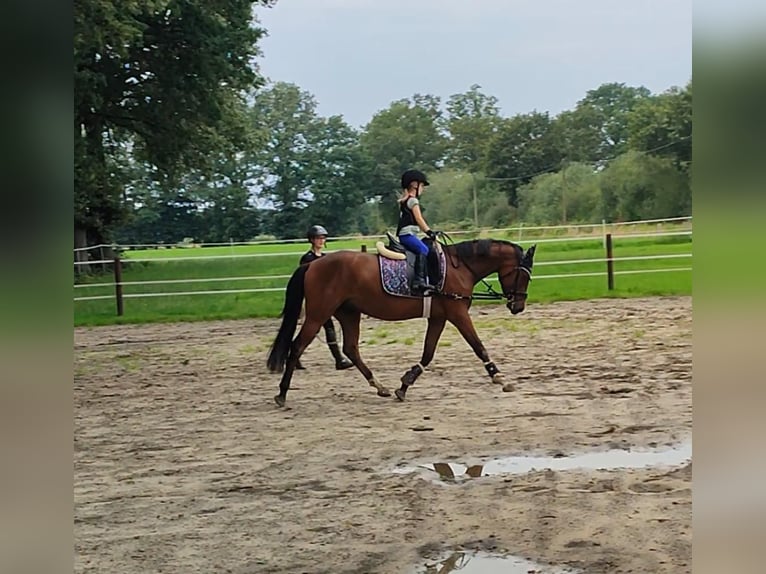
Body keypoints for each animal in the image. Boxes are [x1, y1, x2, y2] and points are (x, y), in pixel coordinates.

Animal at [268, 238, 536, 410]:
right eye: (523, 275)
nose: (518, 306)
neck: (460, 267)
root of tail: (312, 263)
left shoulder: (438, 317)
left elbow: (428, 353)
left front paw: (405, 384)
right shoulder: (457, 313)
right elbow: (478, 345)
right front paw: (498, 376)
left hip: (348, 313)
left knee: (351, 349)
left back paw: (380, 387)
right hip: (319, 314)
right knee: (297, 346)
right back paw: (282, 393)